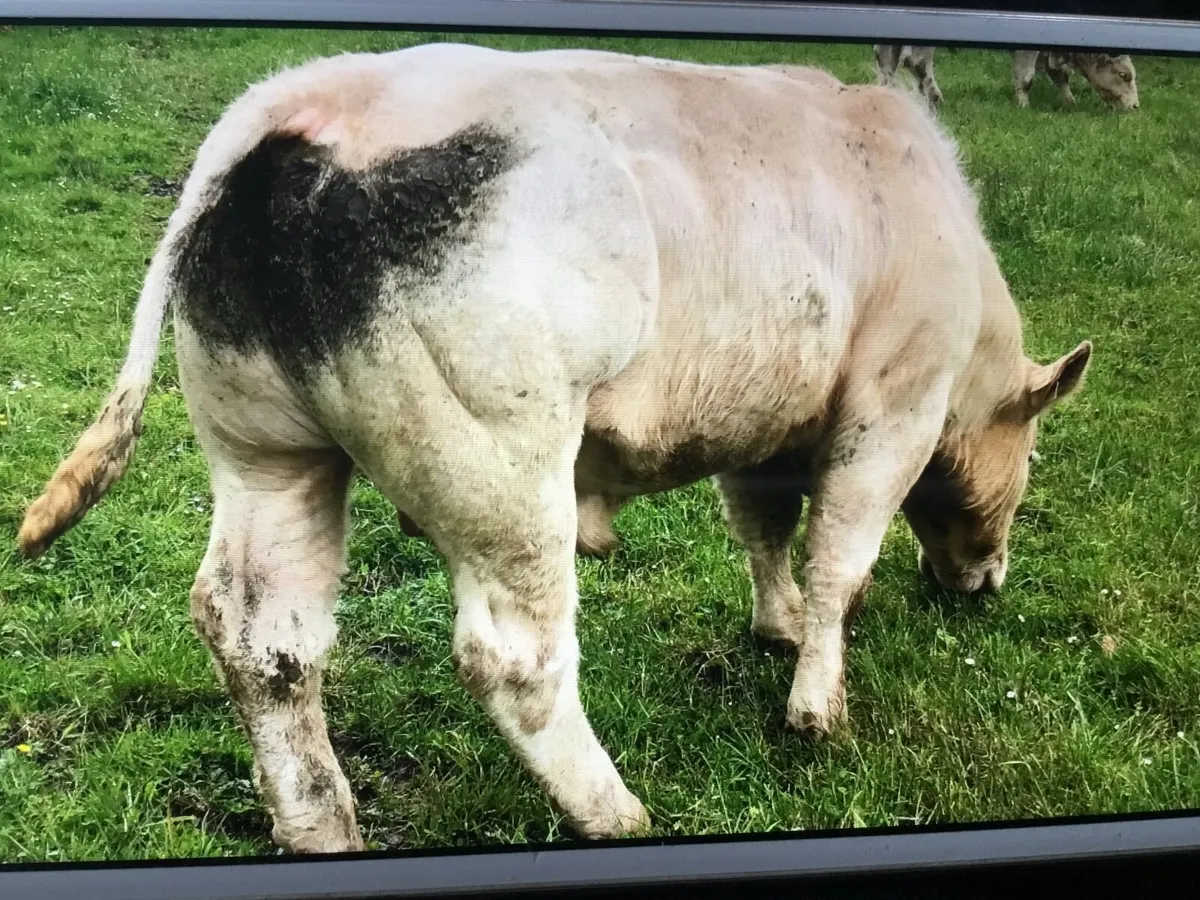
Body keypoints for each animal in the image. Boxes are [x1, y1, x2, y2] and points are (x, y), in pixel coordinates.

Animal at [17, 43, 1092, 853]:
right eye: (1033, 457)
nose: (984, 580)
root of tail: (301, 103)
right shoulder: (891, 410)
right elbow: (841, 560)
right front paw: (817, 706)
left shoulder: (767, 422)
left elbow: (761, 527)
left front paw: (776, 627)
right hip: (506, 469)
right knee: (513, 655)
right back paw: (614, 811)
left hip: (266, 453)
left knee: (259, 633)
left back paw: (322, 825)